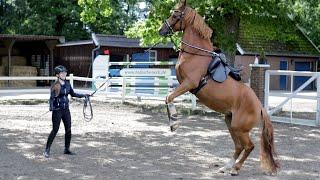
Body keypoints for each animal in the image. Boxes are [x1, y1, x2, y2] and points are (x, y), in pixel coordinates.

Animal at [159, 0, 278, 176]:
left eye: (175, 15)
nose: (161, 30)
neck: (194, 55)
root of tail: (260, 107)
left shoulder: (189, 83)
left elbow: (169, 97)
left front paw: (174, 122)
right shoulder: (181, 83)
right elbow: (168, 96)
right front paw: (173, 121)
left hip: (239, 128)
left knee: (249, 146)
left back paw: (235, 169)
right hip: (230, 122)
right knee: (239, 146)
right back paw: (226, 167)